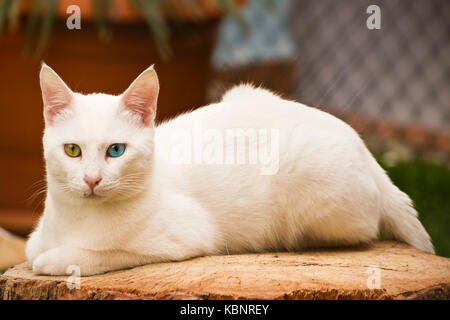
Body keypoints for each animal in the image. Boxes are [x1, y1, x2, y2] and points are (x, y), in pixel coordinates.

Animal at [26, 64, 434, 276]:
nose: (92, 179)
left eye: (116, 150)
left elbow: (100, 254)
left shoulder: (184, 238)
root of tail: (366, 150)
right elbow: (31, 250)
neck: (78, 219)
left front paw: (59, 260)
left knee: (360, 231)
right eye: (73, 150)